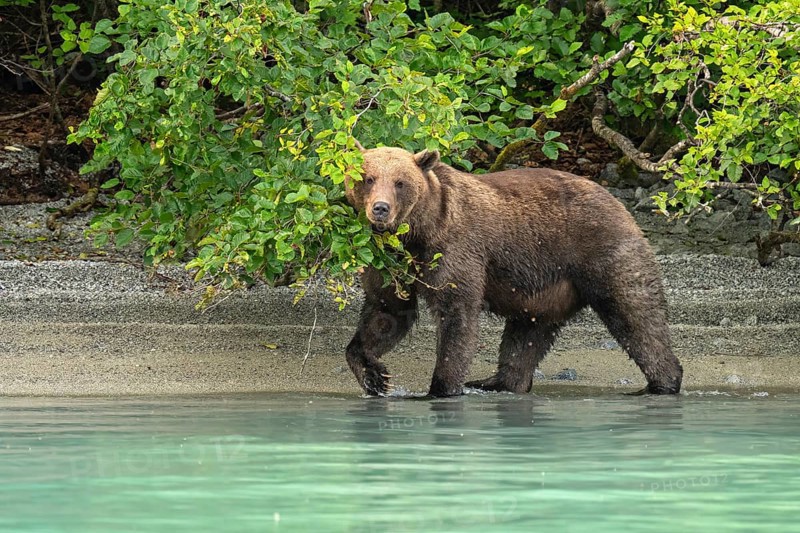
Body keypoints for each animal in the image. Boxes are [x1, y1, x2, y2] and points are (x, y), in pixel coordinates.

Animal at [343, 145, 683, 398]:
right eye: (368, 178)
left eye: (400, 182)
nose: (381, 209)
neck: (415, 236)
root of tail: (617, 202)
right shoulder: (387, 261)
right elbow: (387, 311)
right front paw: (375, 376)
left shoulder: (454, 247)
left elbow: (456, 313)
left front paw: (441, 387)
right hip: (545, 289)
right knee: (526, 335)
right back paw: (497, 383)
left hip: (602, 250)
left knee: (634, 314)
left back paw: (662, 382)